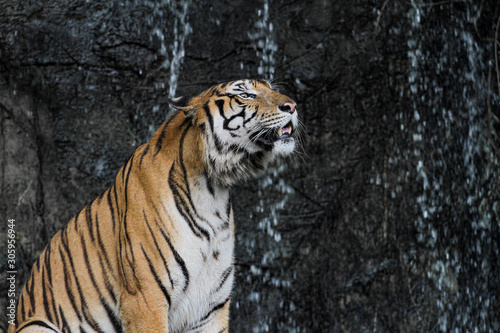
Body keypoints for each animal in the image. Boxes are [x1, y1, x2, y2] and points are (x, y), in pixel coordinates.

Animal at [9, 79, 298, 330]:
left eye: (271, 88)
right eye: (246, 94)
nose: (292, 105)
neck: (212, 190)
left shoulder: (210, 306)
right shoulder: (145, 297)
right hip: (36, 324)